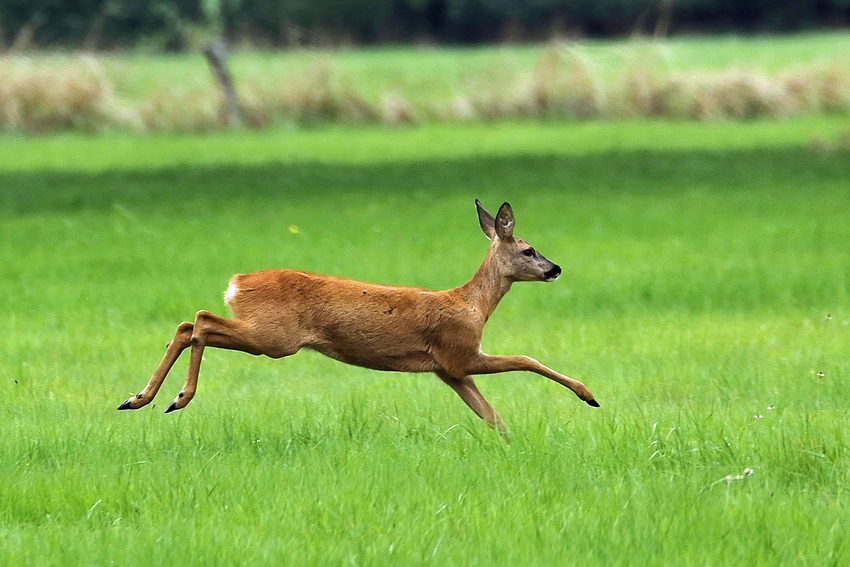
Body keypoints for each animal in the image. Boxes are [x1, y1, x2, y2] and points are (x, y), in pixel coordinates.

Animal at [117, 201, 596, 440]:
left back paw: (138, 398)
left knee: (188, 324)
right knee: (199, 321)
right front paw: (588, 395)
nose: (555, 269)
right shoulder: (459, 352)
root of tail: (237, 283)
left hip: (268, 336)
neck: (472, 306)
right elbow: (527, 359)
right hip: (274, 336)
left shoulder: (449, 372)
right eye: (529, 250)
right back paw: (176, 397)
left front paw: (515, 446)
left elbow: (493, 417)